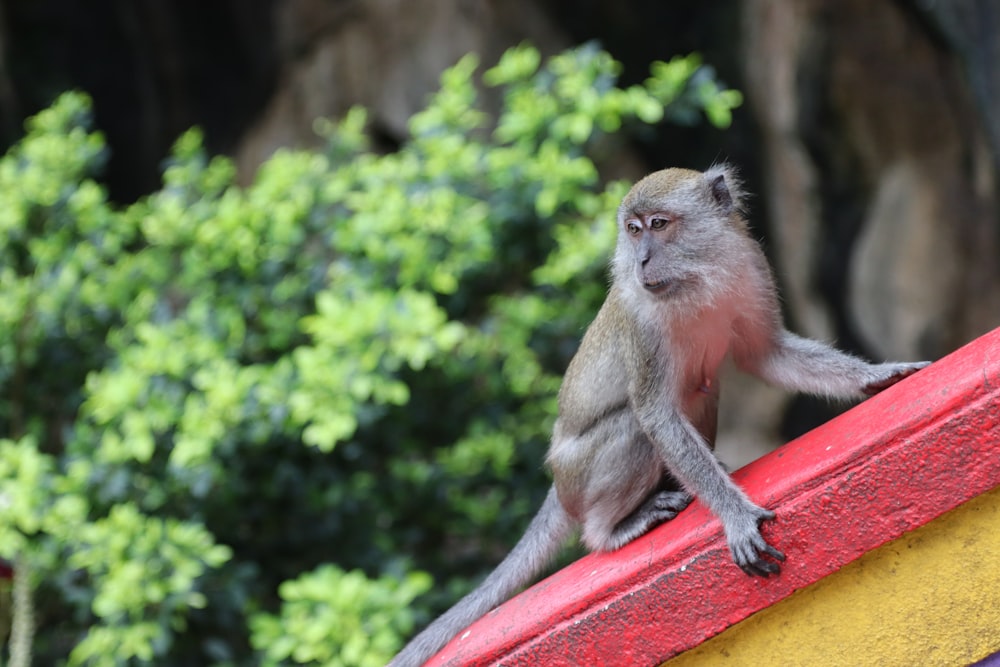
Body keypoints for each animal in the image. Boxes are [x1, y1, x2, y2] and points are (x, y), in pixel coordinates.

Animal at [388, 166, 928, 667]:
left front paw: (875, 375)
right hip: (579, 474)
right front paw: (733, 515)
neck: (696, 279)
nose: (642, 259)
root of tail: (558, 484)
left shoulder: (750, 267)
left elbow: (766, 355)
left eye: (659, 224)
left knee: (704, 389)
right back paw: (613, 530)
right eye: (632, 230)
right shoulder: (642, 319)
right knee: (633, 427)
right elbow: (653, 413)